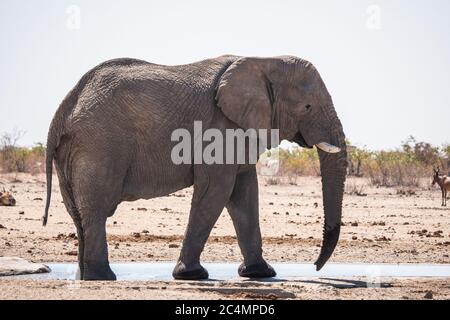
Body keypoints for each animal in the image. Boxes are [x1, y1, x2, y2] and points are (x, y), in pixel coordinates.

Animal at [43, 55, 348, 280]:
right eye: (307, 107)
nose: (315, 267)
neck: (264, 61)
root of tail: (67, 104)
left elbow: (245, 193)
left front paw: (261, 274)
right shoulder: (220, 127)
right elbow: (217, 190)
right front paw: (192, 275)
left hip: (75, 149)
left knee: (78, 213)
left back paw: (85, 277)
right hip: (100, 143)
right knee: (97, 209)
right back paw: (102, 277)